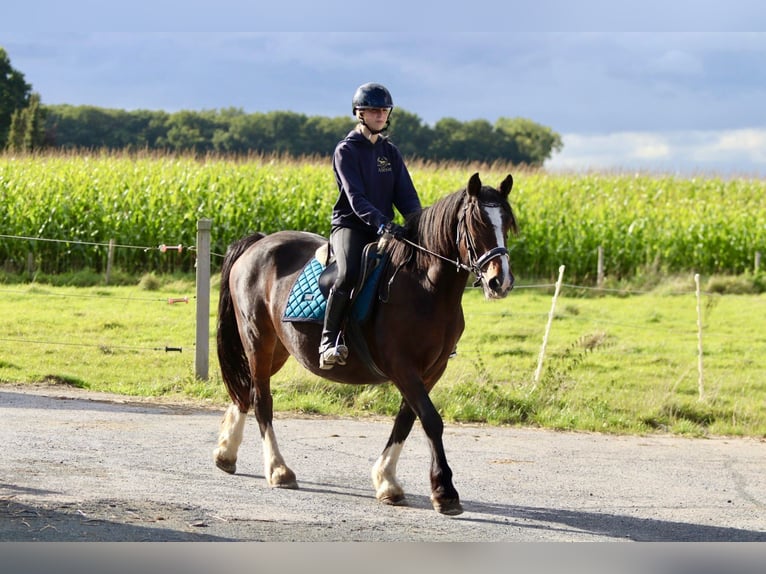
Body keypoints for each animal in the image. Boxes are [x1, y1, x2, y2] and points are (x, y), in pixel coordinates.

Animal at [213, 171, 520, 516]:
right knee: (261, 399)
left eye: (507, 222)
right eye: (476, 222)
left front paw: (387, 482)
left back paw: (226, 453)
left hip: (279, 347)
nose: (500, 281)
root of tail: (258, 243)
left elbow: (406, 420)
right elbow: (431, 420)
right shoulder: (403, 368)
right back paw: (278, 469)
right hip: (258, 340)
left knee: (246, 391)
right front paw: (444, 492)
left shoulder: (431, 371)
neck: (424, 287)